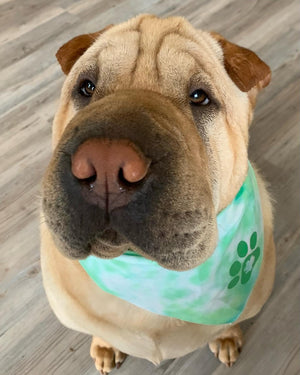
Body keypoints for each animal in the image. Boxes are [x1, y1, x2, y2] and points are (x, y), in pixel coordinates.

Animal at [40, 13, 276, 374]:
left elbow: (229, 324)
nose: (106, 162)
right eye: (87, 87)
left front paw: (226, 336)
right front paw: (104, 345)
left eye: (200, 97)